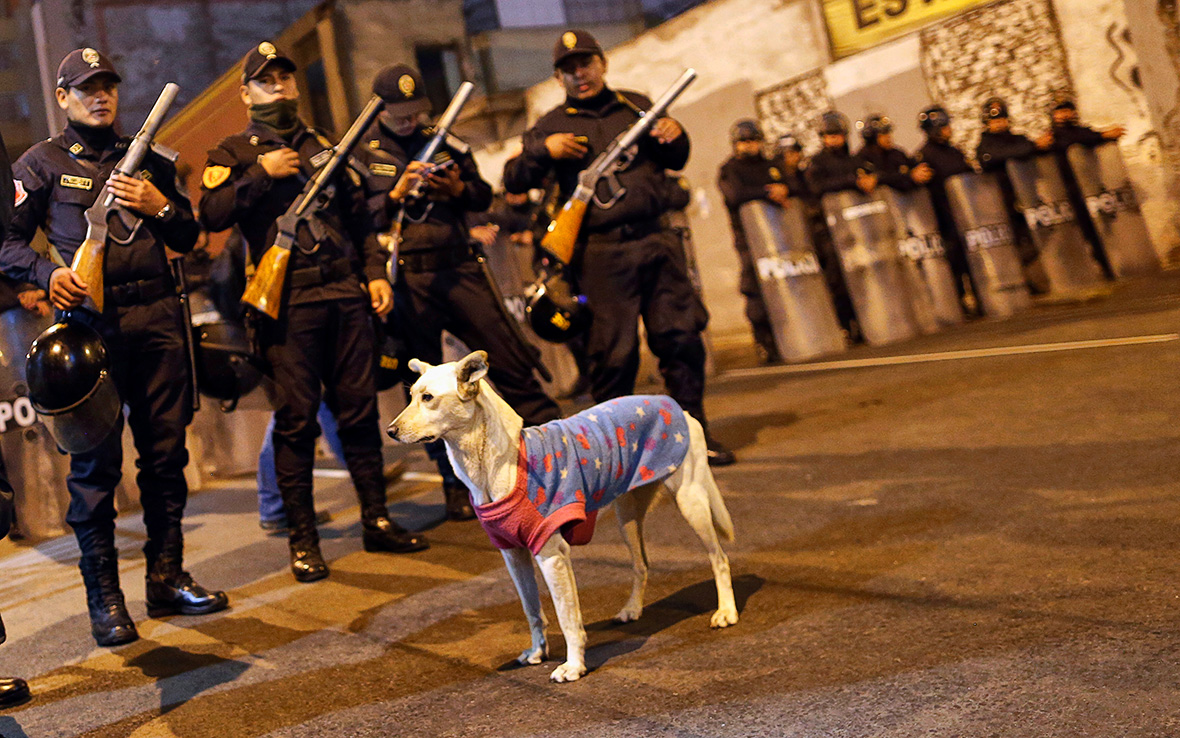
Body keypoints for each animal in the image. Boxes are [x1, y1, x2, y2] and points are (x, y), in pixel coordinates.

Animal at [387, 351, 736, 680]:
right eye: (411, 395)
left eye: (428, 397)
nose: (390, 431)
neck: (497, 465)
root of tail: (675, 405)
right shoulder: (514, 556)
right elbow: (532, 609)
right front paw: (537, 652)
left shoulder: (552, 555)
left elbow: (567, 616)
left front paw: (573, 666)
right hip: (626, 517)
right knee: (641, 565)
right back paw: (632, 609)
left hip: (691, 501)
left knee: (719, 557)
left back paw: (726, 612)